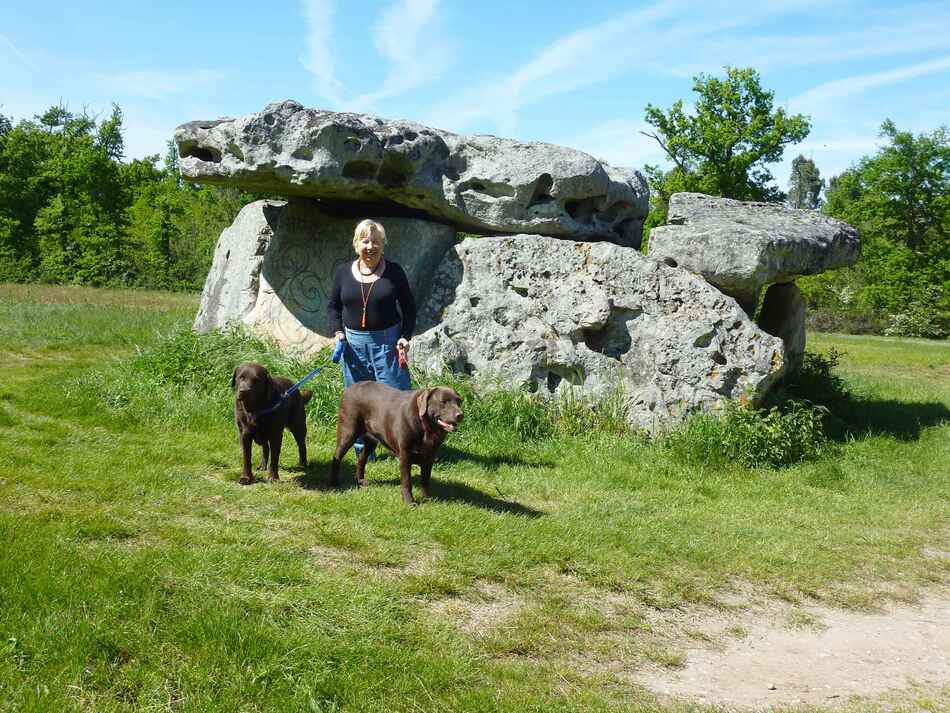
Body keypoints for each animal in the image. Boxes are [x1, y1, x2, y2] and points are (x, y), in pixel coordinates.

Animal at [330, 382, 464, 504]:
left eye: (459, 401)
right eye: (443, 402)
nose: (460, 415)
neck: (426, 428)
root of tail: (350, 388)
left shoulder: (429, 458)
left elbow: (425, 480)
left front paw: (428, 499)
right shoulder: (405, 455)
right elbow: (407, 482)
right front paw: (409, 502)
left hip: (371, 440)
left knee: (361, 459)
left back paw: (361, 481)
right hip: (348, 432)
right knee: (337, 457)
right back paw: (334, 483)